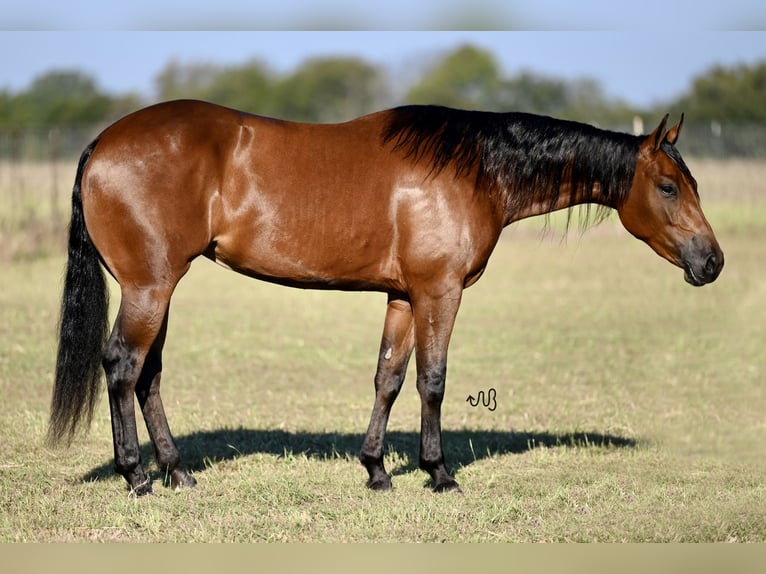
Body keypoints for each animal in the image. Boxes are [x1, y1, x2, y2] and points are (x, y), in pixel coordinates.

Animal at [48, 99, 728, 496]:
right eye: (669, 187)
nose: (713, 262)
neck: (473, 168)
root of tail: (103, 143)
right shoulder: (439, 292)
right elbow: (433, 380)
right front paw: (438, 473)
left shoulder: (403, 297)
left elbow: (388, 378)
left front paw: (376, 470)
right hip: (149, 287)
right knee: (123, 366)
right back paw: (137, 476)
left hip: (159, 289)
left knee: (148, 375)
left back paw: (178, 472)